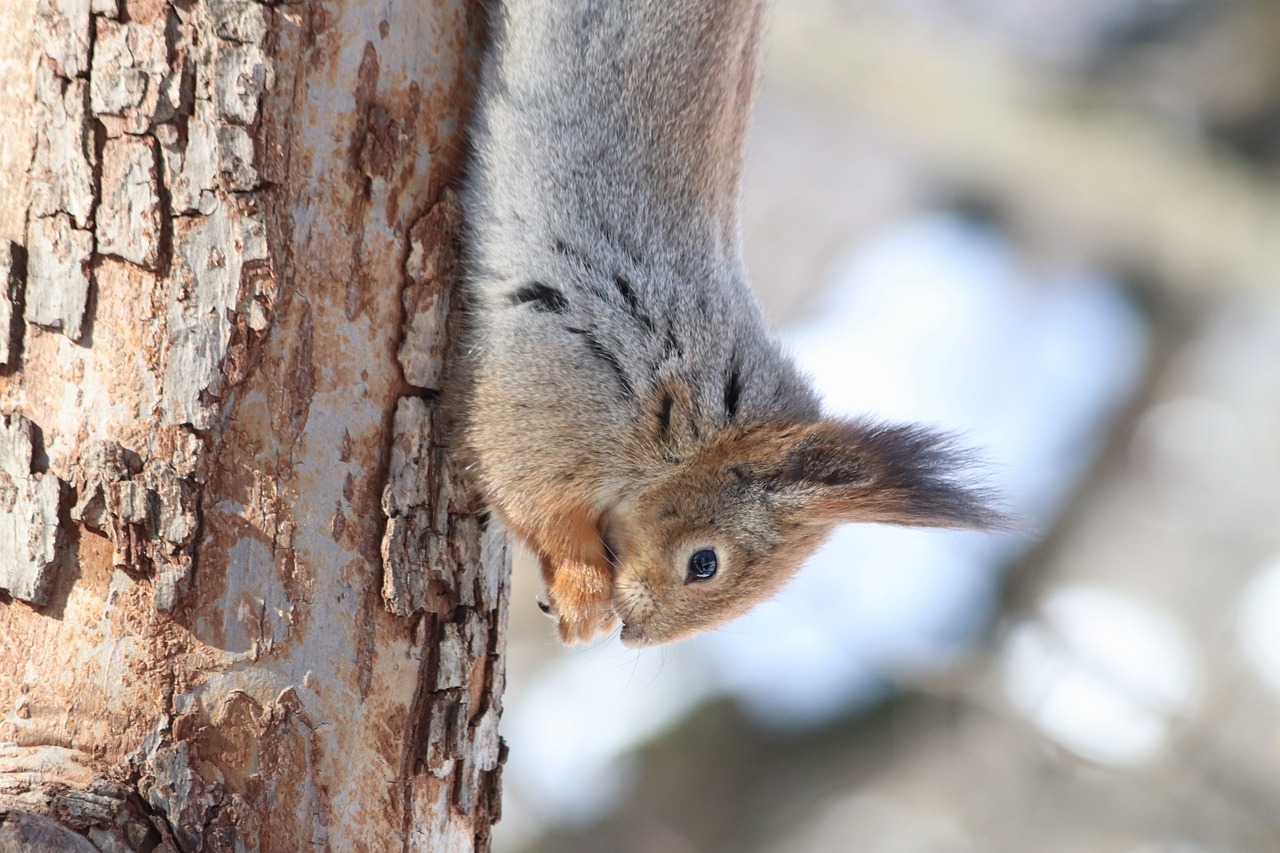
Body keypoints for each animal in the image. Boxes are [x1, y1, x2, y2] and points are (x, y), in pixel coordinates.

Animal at [455, 0, 1003, 645]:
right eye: (705, 562)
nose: (635, 635)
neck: (691, 422)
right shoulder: (562, 402)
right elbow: (532, 499)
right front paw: (582, 594)